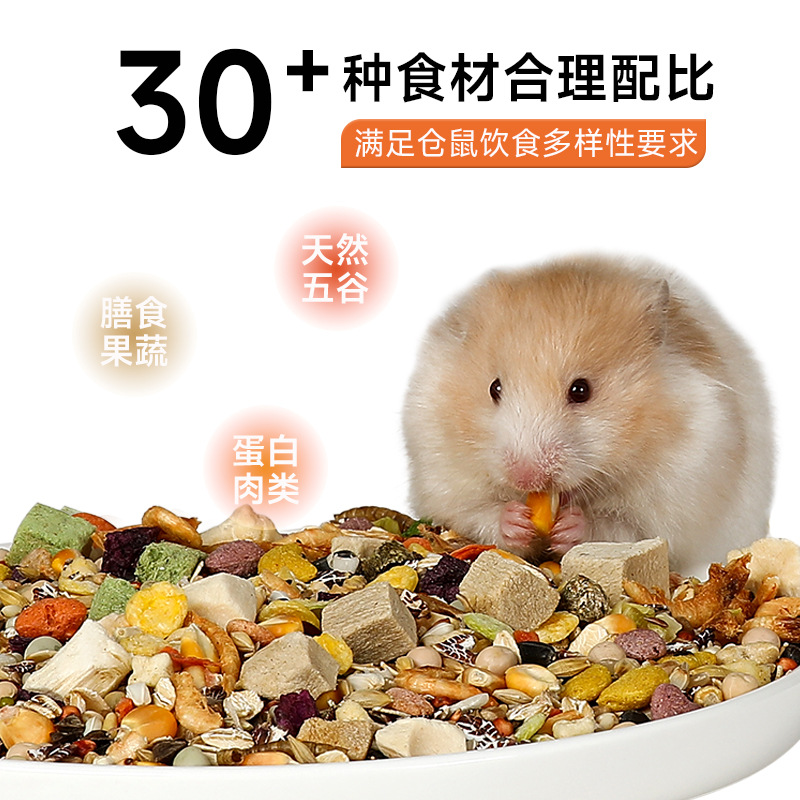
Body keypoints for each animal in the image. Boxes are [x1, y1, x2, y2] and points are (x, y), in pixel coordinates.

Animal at [402, 255, 774, 576]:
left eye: (581, 390)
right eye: (494, 388)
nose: (526, 478)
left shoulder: (680, 487)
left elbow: (620, 527)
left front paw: (570, 526)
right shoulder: (442, 469)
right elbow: (478, 513)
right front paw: (516, 520)